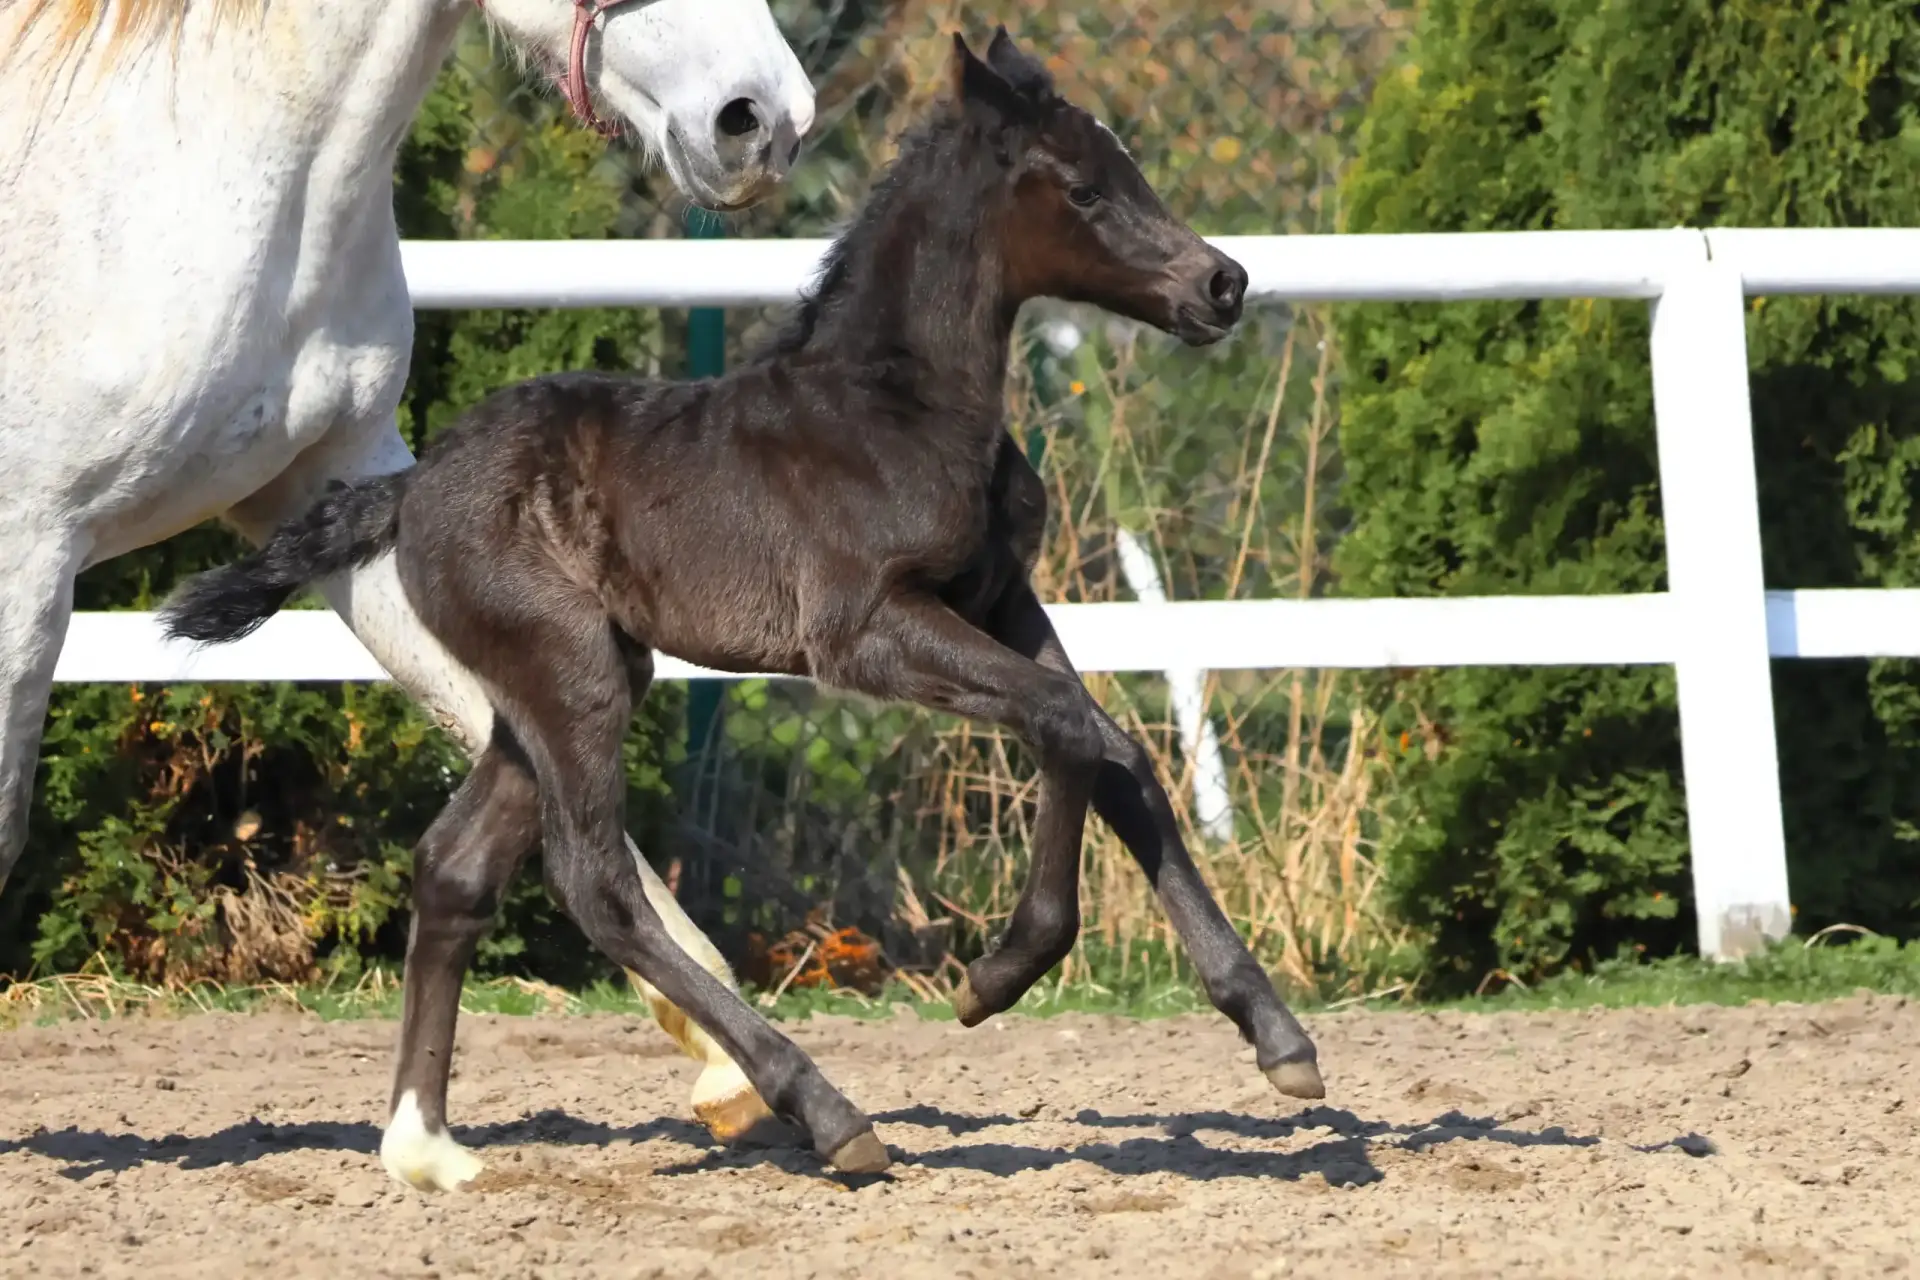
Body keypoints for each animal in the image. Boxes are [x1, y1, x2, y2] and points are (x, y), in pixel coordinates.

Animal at [160, 23, 1330, 1186]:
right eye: (1084, 189)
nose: (1221, 284)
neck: (899, 405)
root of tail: (409, 490)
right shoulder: (863, 631)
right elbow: (1063, 724)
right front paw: (999, 974)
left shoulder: (1002, 600)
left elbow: (1113, 749)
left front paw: (1278, 1034)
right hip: (571, 673)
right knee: (593, 880)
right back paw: (824, 1108)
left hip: (549, 688)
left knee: (456, 865)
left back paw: (427, 1145)